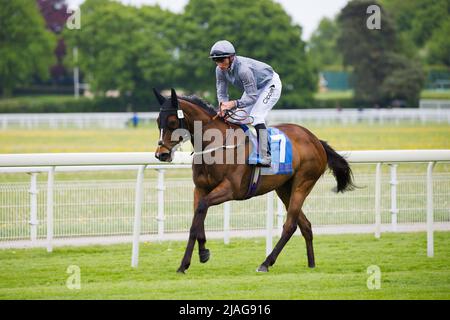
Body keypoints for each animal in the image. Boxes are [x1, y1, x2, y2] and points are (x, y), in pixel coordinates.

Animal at [155, 89, 356, 274]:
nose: (160, 154)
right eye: (158, 122)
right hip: (284, 188)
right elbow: (197, 218)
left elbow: (201, 210)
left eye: (172, 122)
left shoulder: (230, 189)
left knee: (290, 225)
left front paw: (188, 262)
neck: (216, 145)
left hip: (303, 183)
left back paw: (266, 263)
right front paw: (199, 254)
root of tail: (315, 140)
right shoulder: (200, 188)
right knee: (305, 225)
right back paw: (311, 264)